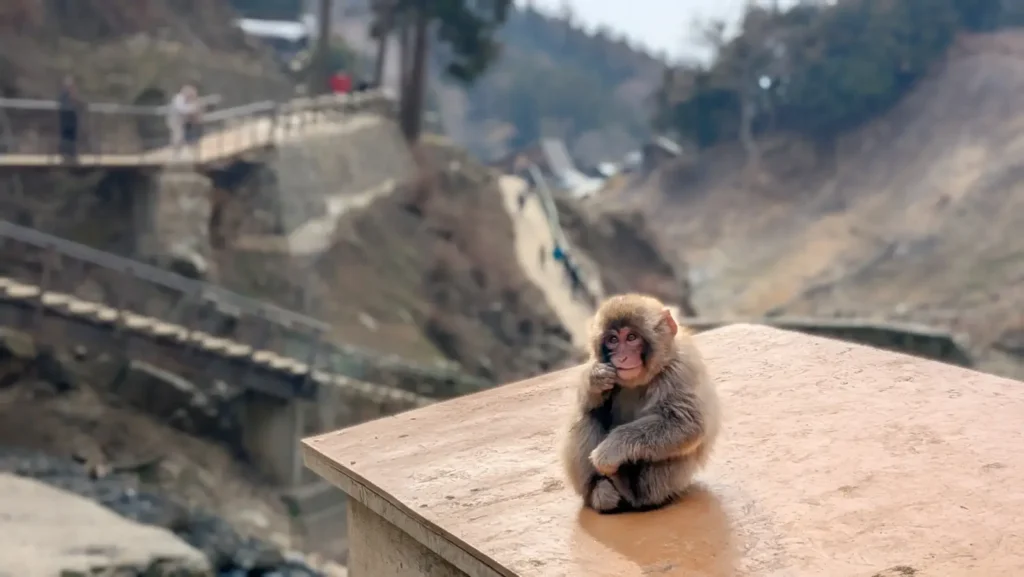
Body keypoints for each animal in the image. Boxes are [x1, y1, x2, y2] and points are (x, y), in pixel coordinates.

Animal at [559, 293, 720, 513]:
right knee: (587, 415)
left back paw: (634, 495)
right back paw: (599, 490)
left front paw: (610, 451)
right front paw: (595, 378)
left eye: (632, 337)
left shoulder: (679, 370)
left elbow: (686, 423)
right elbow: (588, 402)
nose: (622, 357)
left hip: (663, 484)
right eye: (613, 340)